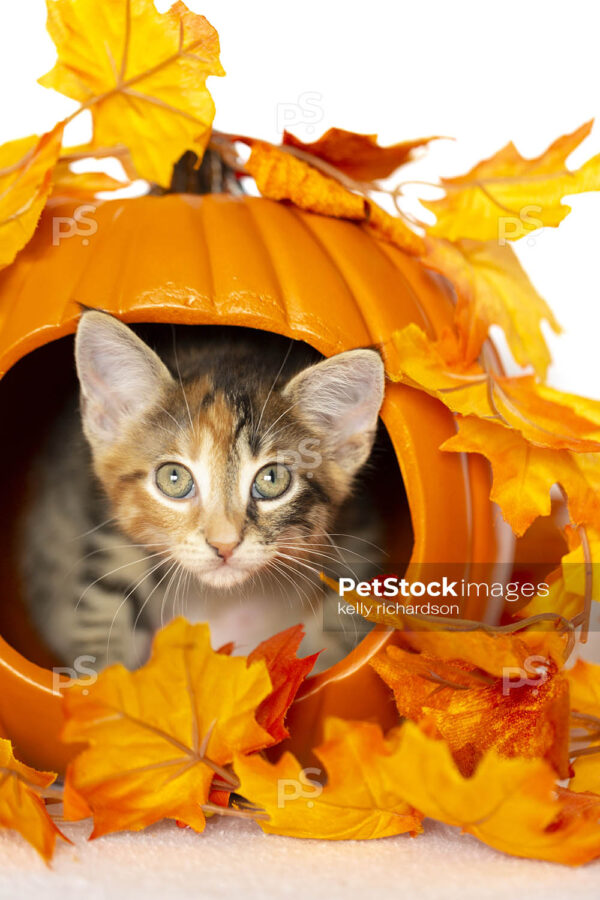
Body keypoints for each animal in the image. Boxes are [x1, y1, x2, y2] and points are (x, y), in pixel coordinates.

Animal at [19, 312, 384, 672]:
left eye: (271, 479)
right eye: (174, 478)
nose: (224, 545)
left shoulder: (355, 544)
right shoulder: (110, 538)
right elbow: (105, 603)